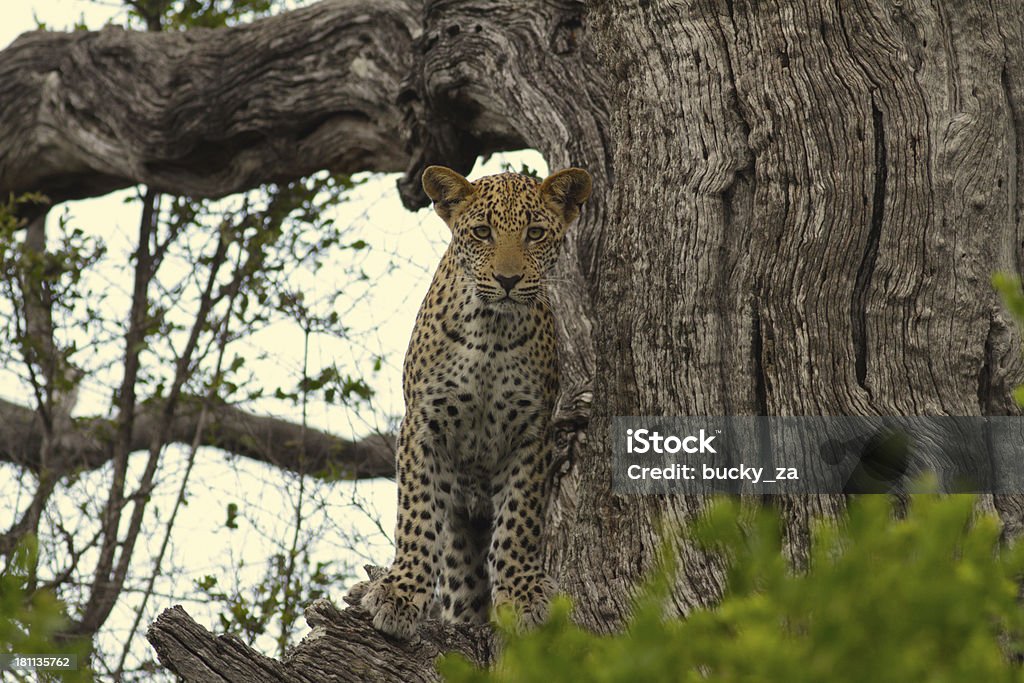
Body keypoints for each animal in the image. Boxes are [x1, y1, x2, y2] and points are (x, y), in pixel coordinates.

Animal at [356, 162, 593, 638]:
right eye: (483, 232)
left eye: (536, 233)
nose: (508, 280)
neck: (492, 333)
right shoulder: (422, 426)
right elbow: (417, 516)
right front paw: (400, 593)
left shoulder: (532, 433)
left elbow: (520, 519)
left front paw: (522, 595)